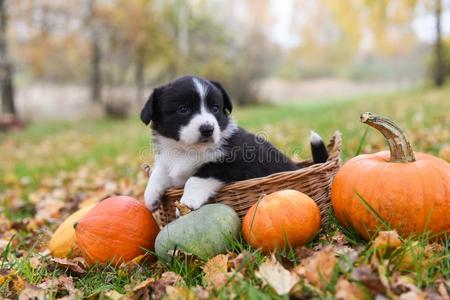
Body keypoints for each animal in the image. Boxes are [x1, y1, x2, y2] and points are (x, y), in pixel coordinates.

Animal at [141, 75, 326, 211]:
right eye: (182, 109)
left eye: (215, 108)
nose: (208, 129)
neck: (188, 150)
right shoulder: (169, 161)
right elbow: (159, 172)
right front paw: (150, 198)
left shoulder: (235, 162)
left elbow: (199, 175)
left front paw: (188, 201)